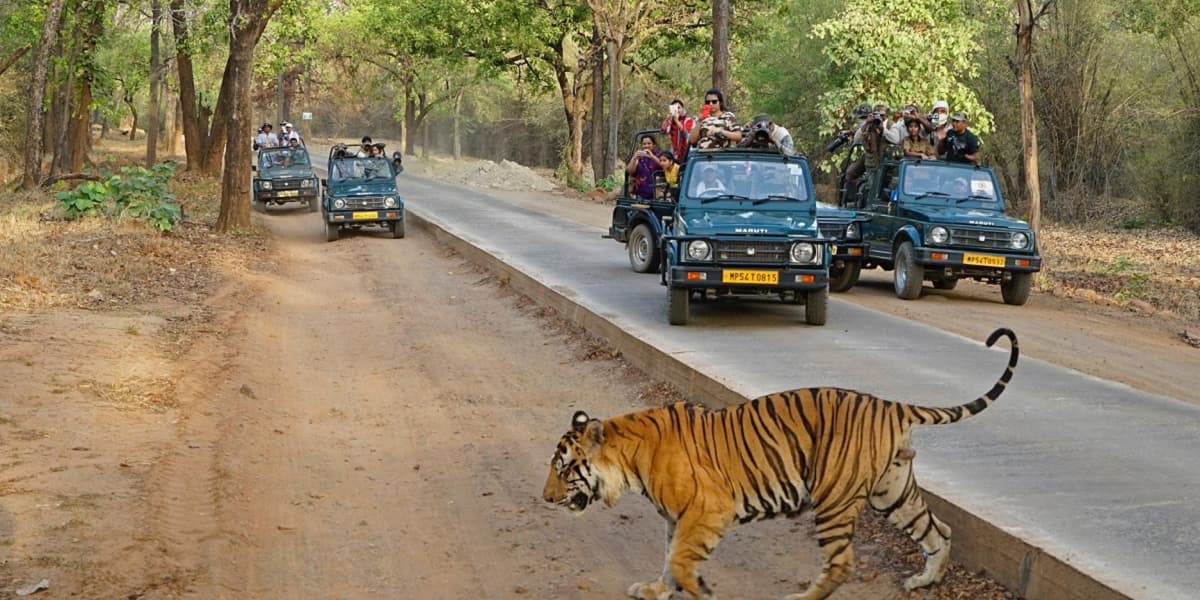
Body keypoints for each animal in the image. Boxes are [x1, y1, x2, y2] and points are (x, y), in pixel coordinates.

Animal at [541, 327, 1017, 600]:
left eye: (564, 468)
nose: (545, 498)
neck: (629, 460)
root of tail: (891, 404)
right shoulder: (677, 518)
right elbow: (668, 559)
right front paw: (656, 589)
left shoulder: (707, 510)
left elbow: (680, 561)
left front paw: (699, 591)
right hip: (892, 492)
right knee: (940, 530)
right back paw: (925, 581)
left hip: (834, 497)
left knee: (842, 564)